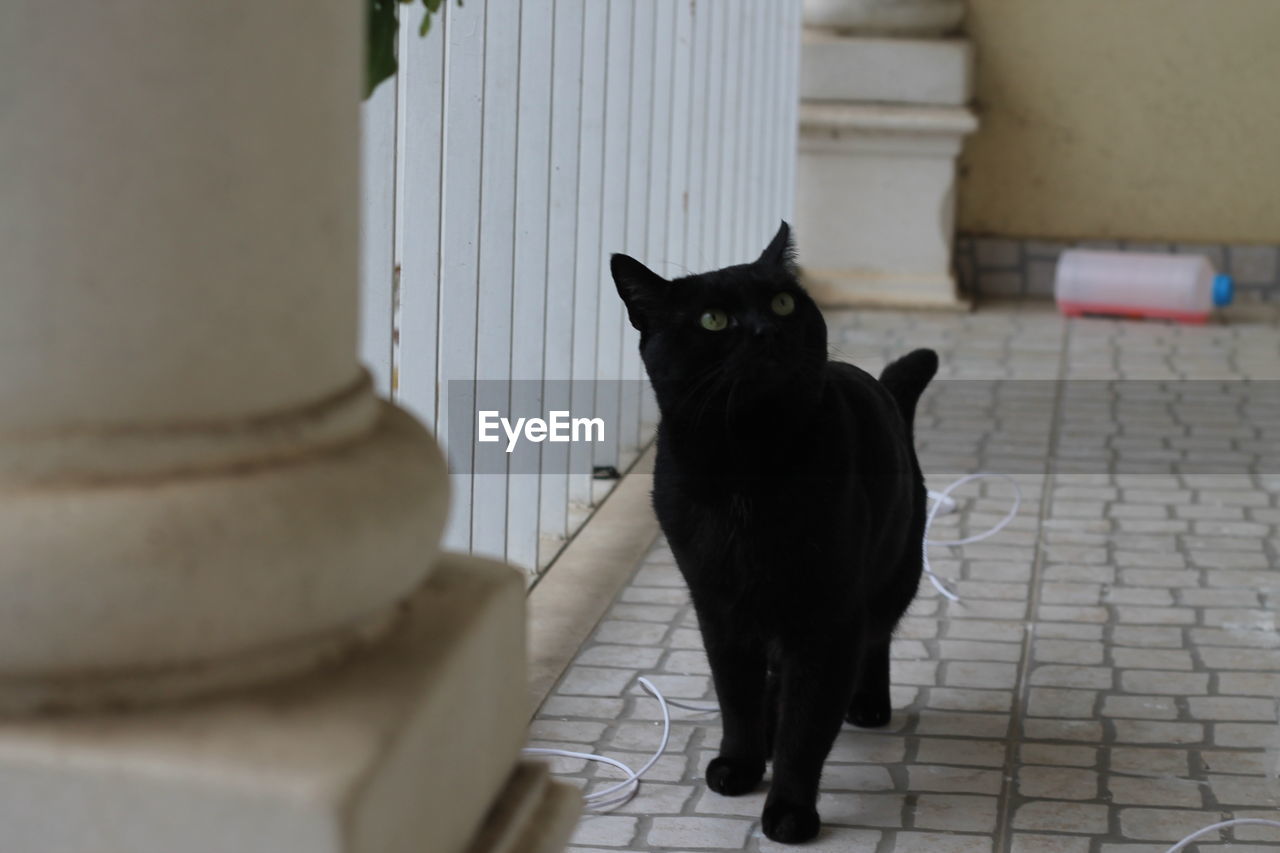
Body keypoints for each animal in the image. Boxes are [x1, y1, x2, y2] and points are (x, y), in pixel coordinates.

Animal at [614, 222, 936, 840]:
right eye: (713, 320)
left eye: (783, 304)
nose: (765, 330)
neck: (748, 461)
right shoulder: (716, 606)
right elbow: (736, 696)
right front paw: (740, 764)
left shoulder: (828, 618)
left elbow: (807, 728)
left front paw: (789, 811)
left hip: (894, 570)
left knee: (877, 636)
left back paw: (868, 703)